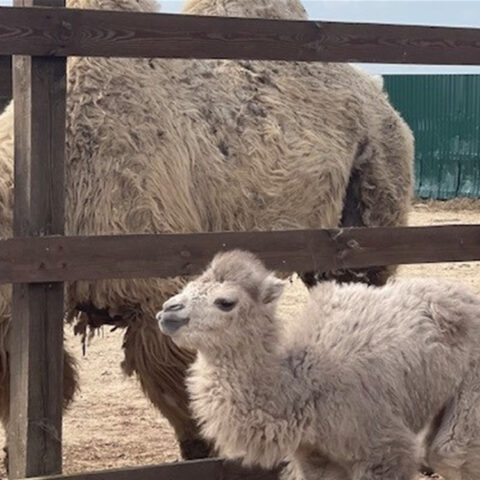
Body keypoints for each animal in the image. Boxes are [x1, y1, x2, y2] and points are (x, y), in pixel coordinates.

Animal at [159, 251, 480, 480]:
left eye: (225, 302)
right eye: (188, 286)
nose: (167, 312)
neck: (303, 386)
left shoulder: (385, 450)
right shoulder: (314, 457)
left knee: (450, 454)